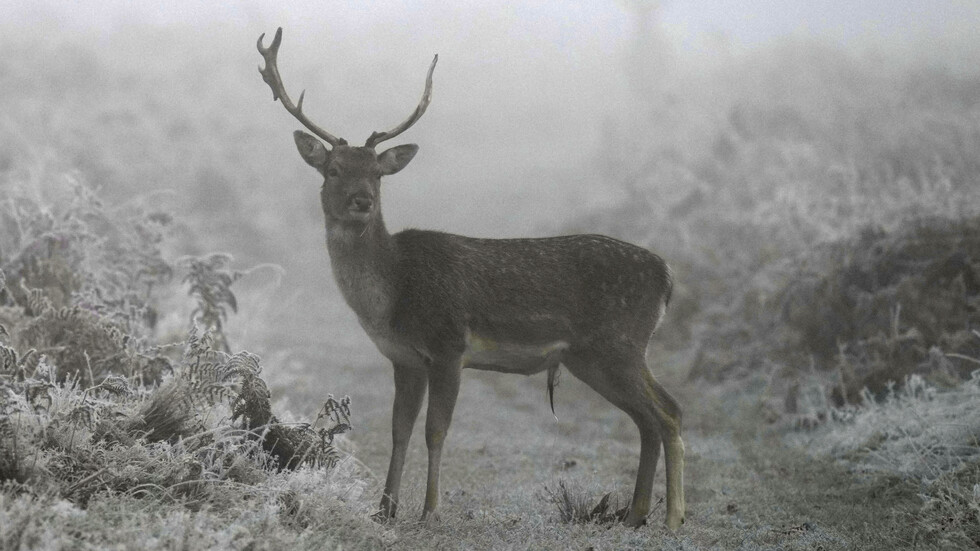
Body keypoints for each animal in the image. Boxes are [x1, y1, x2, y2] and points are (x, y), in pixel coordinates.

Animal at [256, 29, 684, 532]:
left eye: (378, 174)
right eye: (334, 169)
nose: (362, 200)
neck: (391, 295)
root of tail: (666, 275)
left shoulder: (449, 345)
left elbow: (435, 430)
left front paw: (430, 510)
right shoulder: (404, 358)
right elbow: (399, 429)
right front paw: (385, 508)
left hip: (618, 342)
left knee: (668, 412)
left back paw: (674, 517)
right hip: (594, 356)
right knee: (648, 419)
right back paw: (635, 515)